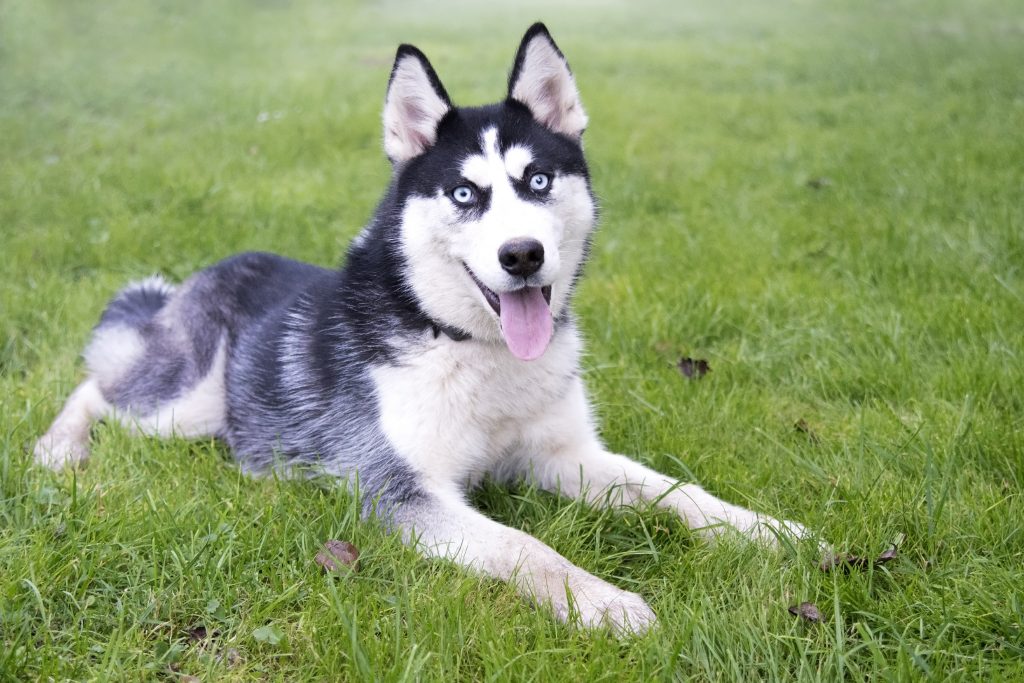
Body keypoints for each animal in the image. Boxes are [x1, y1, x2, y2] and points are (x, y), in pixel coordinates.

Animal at [36, 25, 806, 634]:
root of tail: (216, 266)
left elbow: (676, 491)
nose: (522, 255)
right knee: (98, 384)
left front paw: (766, 530)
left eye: (538, 181)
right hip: (188, 406)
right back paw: (59, 450)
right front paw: (604, 602)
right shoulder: (399, 490)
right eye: (465, 193)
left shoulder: (563, 453)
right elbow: (525, 546)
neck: (474, 349)